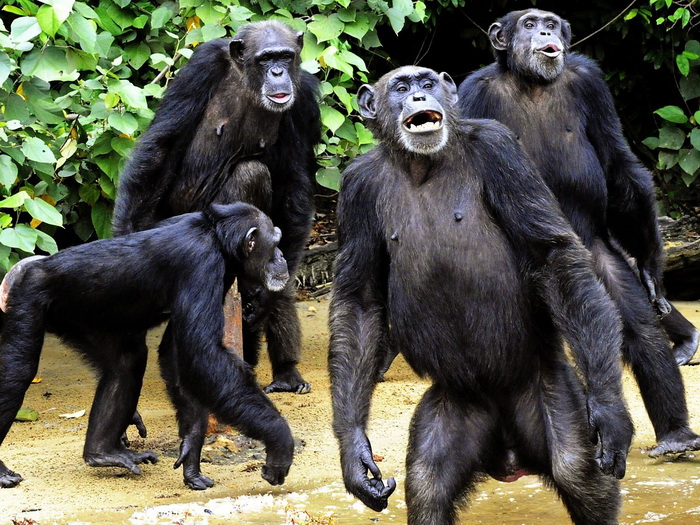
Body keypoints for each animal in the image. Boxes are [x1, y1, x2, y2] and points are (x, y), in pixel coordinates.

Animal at [0, 203, 294, 490]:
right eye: (275, 242)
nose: (281, 255)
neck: (217, 239)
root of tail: (28, 268)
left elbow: (177, 353)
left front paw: (191, 452)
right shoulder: (202, 265)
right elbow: (202, 355)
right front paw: (279, 439)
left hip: (82, 319)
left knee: (125, 364)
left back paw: (102, 452)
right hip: (30, 295)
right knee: (17, 372)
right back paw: (3, 470)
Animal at [328, 64, 636, 524]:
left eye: (427, 82)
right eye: (401, 87)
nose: (419, 98)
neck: (421, 165)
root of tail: (509, 455)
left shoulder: (501, 151)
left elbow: (551, 255)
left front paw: (612, 415)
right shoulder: (355, 190)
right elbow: (360, 303)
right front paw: (355, 455)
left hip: (550, 392)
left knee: (577, 470)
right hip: (454, 410)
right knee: (428, 485)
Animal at [456, 9, 700, 458]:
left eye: (550, 22)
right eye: (529, 24)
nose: (545, 31)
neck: (532, 83)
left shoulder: (592, 84)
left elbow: (618, 165)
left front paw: (652, 268)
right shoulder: (472, 97)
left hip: (594, 258)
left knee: (639, 329)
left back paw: (676, 435)